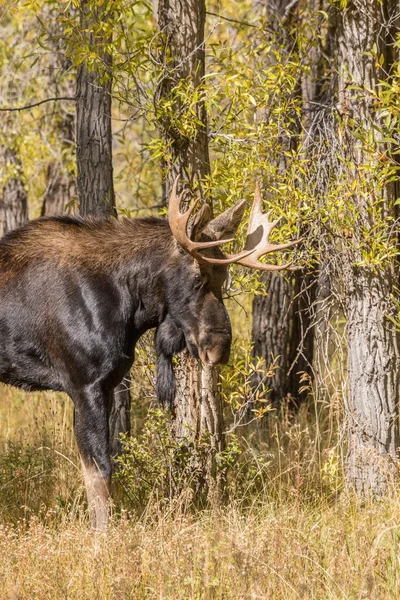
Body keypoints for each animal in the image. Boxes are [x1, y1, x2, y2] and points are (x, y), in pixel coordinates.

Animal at [0, 180, 300, 528]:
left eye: (223, 278)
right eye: (197, 277)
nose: (219, 348)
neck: (130, 306)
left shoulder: (106, 385)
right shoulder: (84, 385)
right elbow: (99, 468)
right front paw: (102, 533)